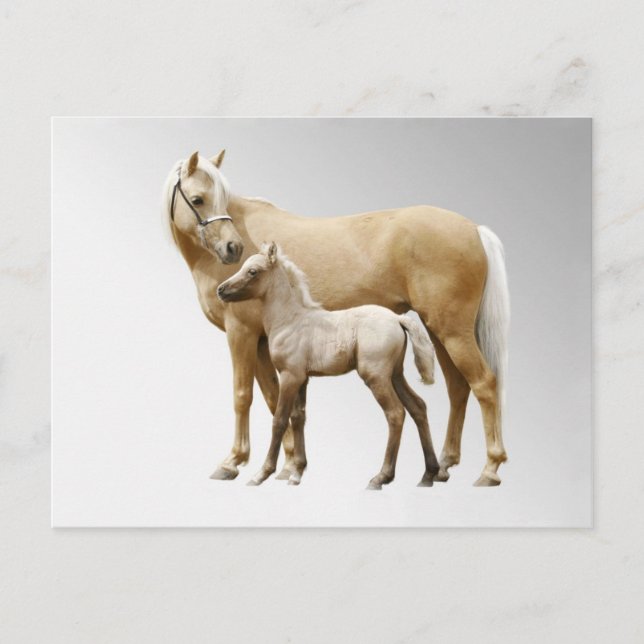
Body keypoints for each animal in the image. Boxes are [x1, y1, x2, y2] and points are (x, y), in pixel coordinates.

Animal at [217, 242, 440, 489]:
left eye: (253, 271)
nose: (221, 290)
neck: (290, 321)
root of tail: (397, 318)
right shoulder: (302, 379)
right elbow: (298, 417)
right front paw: (297, 473)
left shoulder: (289, 376)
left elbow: (279, 419)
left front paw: (261, 474)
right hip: (395, 374)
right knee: (418, 406)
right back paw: (428, 474)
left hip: (376, 376)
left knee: (395, 413)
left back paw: (381, 476)